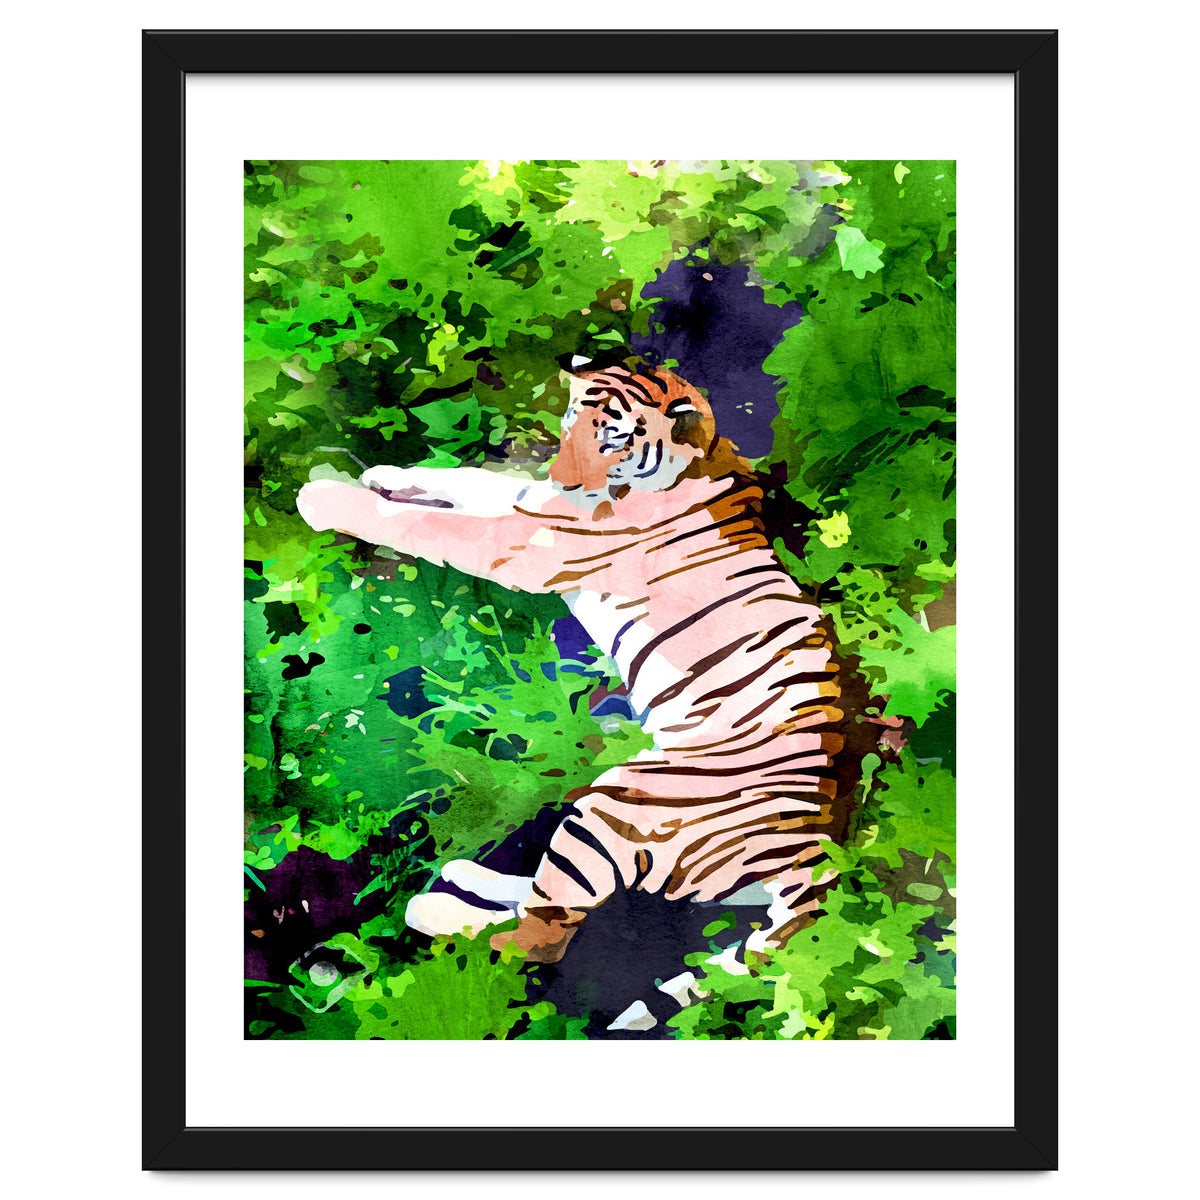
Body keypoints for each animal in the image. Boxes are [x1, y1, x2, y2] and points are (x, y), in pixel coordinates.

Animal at [297, 357, 861, 969]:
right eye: (570, 423)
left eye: (613, 440)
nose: (566, 478)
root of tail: (811, 851)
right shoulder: (532, 502)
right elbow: (472, 481)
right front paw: (385, 473)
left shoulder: (525, 540)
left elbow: (424, 524)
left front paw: (322, 497)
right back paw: (463, 874)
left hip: (618, 806)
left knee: (539, 935)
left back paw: (432, 909)